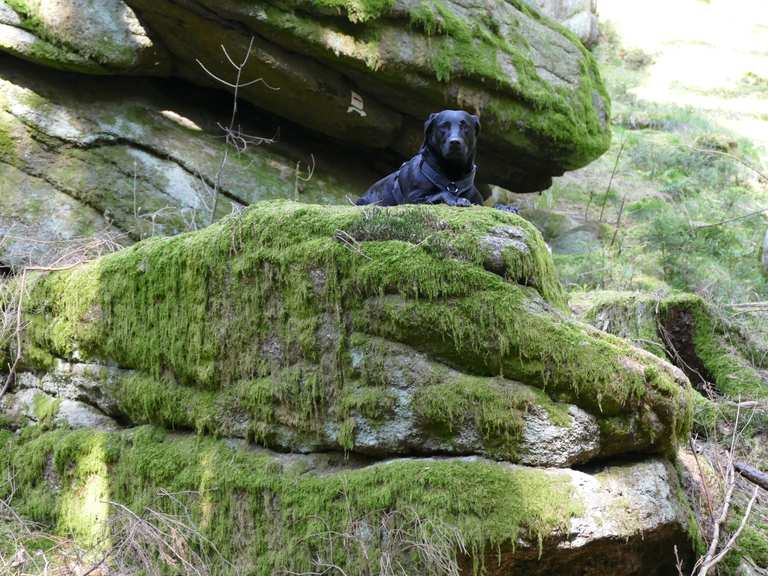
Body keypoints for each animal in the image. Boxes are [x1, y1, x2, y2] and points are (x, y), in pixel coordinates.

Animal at [356, 109, 486, 207]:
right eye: (443, 126)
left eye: (465, 126)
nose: (455, 142)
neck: (452, 176)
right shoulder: (413, 199)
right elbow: (440, 193)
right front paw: (456, 199)